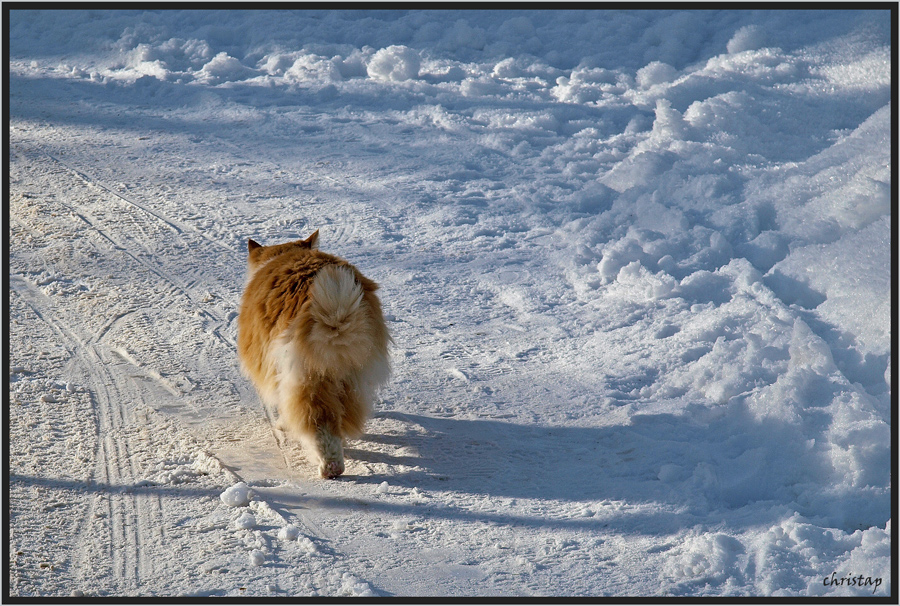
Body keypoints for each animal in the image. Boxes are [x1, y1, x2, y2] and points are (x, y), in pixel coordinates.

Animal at [239, 232, 390, 480]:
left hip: (307, 376)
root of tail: (337, 312)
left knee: (318, 423)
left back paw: (330, 467)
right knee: (342, 416)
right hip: (351, 377)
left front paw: (281, 425)